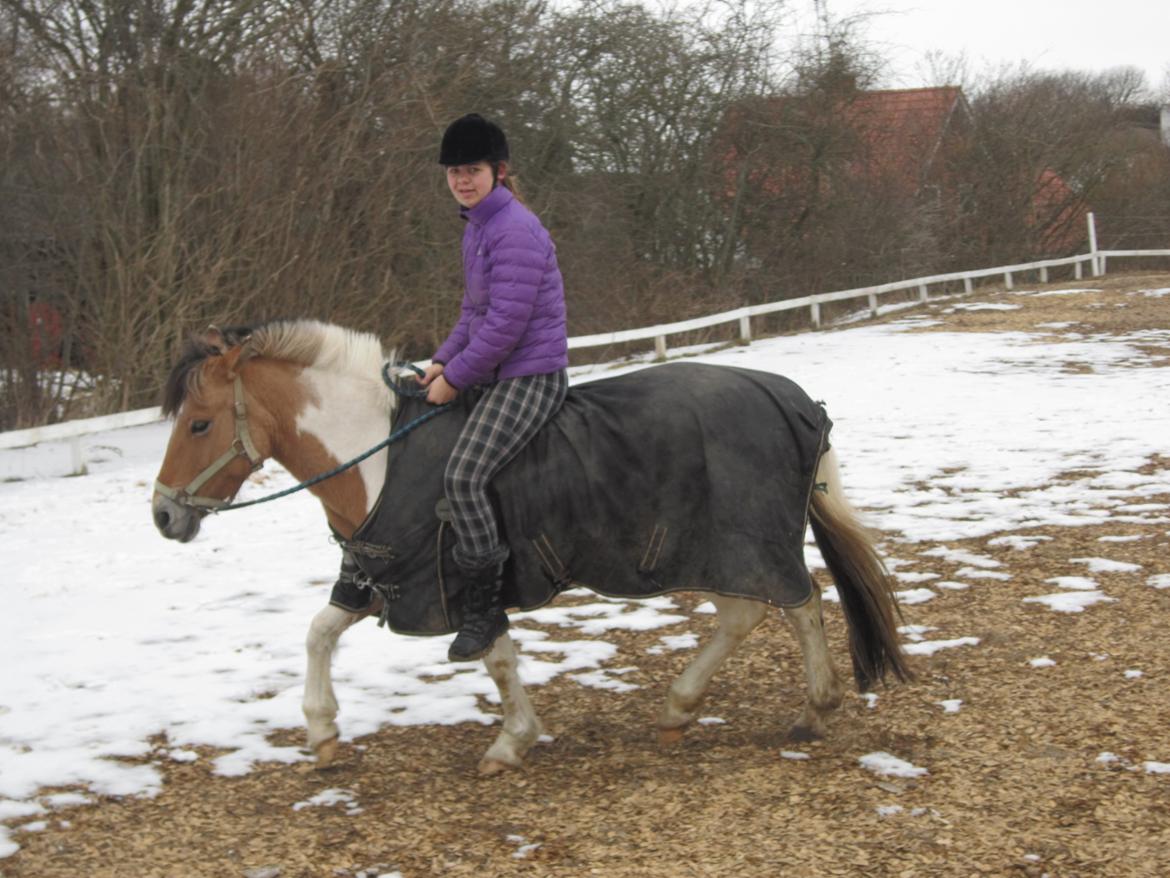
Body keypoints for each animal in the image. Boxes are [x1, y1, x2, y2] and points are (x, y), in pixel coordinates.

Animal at [148, 320, 912, 772]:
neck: (379, 458)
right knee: (746, 613)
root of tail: (794, 399)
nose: (162, 514)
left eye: (199, 424)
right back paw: (680, 709)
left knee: (799, 604)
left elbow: (494, 656)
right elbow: (318, 633)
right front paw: (322, 732)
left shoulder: (457, 579)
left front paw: (510, 740)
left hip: (749, 540)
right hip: (718, 545)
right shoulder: (381, 576)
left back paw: (813, 708)